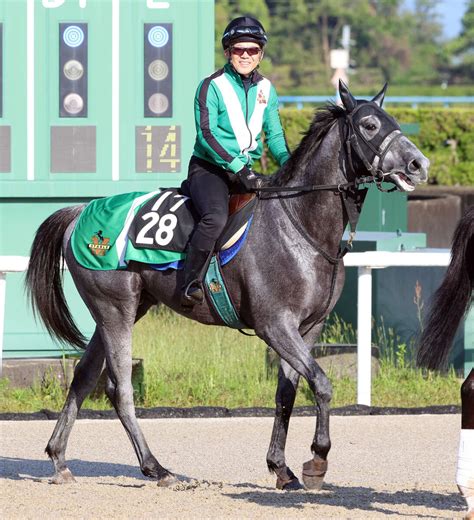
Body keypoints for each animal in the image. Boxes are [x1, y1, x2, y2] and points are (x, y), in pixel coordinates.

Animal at [25, 82, 430, 492]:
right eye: (369, 125)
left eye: (394, 120)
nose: (419, 164)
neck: (300, 227)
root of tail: (79, 212)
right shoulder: (275, 325)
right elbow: (321, 383)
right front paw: (317, 459)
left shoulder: (309, 328)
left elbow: (287, 393)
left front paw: (281, 468)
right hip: (115, 309)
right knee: (119, 388)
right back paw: (156, 467)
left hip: (124, 309)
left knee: (83, 377)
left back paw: (59, 458)